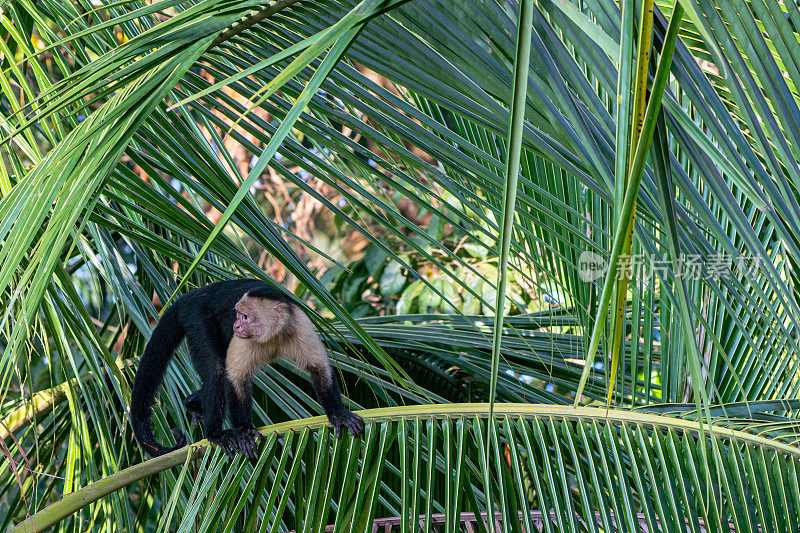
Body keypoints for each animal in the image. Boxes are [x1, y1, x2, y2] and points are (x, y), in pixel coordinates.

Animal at [132, 276, 366, 460]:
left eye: (244, 316)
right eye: (237, 314)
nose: (236, 325)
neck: (274, 334)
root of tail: (192, 295)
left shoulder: (299, 324)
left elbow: (319, 368)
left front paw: (338, 414)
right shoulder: (241, 337)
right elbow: (235, 377)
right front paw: (244, 431)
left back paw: (193, 403)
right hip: (195, 316)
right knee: (216, 370)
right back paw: (215, 433)